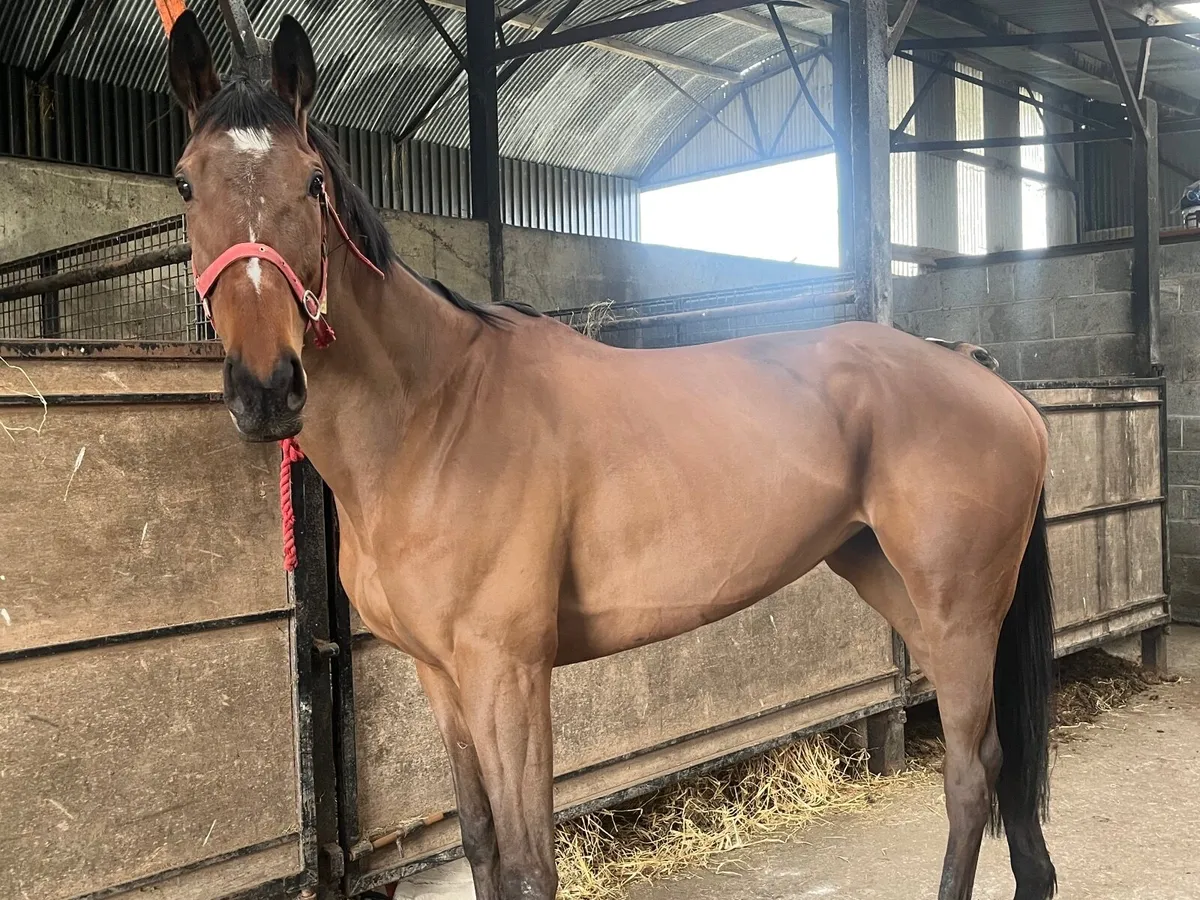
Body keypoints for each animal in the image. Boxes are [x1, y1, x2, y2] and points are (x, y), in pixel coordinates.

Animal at [166, 13, 1056, 900]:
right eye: (185, 185)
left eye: (313, 181)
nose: (266, 388)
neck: (435, 414)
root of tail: (982, 375)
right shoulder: (440, 677)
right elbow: (482, 845)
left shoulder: (508, 675)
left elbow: (530, 865)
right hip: (897, 586)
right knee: (997, 760)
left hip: (959, 606)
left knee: (970, 773)